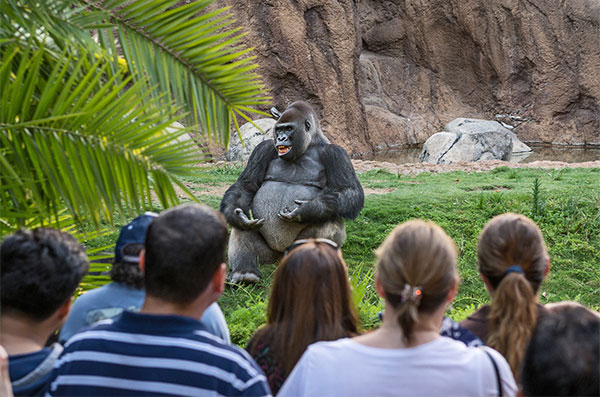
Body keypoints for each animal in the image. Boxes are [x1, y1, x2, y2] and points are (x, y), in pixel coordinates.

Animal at [219, 101, 364, 282]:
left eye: (289, 129)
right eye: (279, 130)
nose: (281, 138)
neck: (310, 144)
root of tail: (279, 257)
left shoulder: (337, 153)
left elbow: (350, 192)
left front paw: (311, 208)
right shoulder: (263, 149)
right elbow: (246, 186)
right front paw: (235, 215)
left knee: (328, 219)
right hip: (268, 256)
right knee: (243, 228)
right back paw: (245, 272)